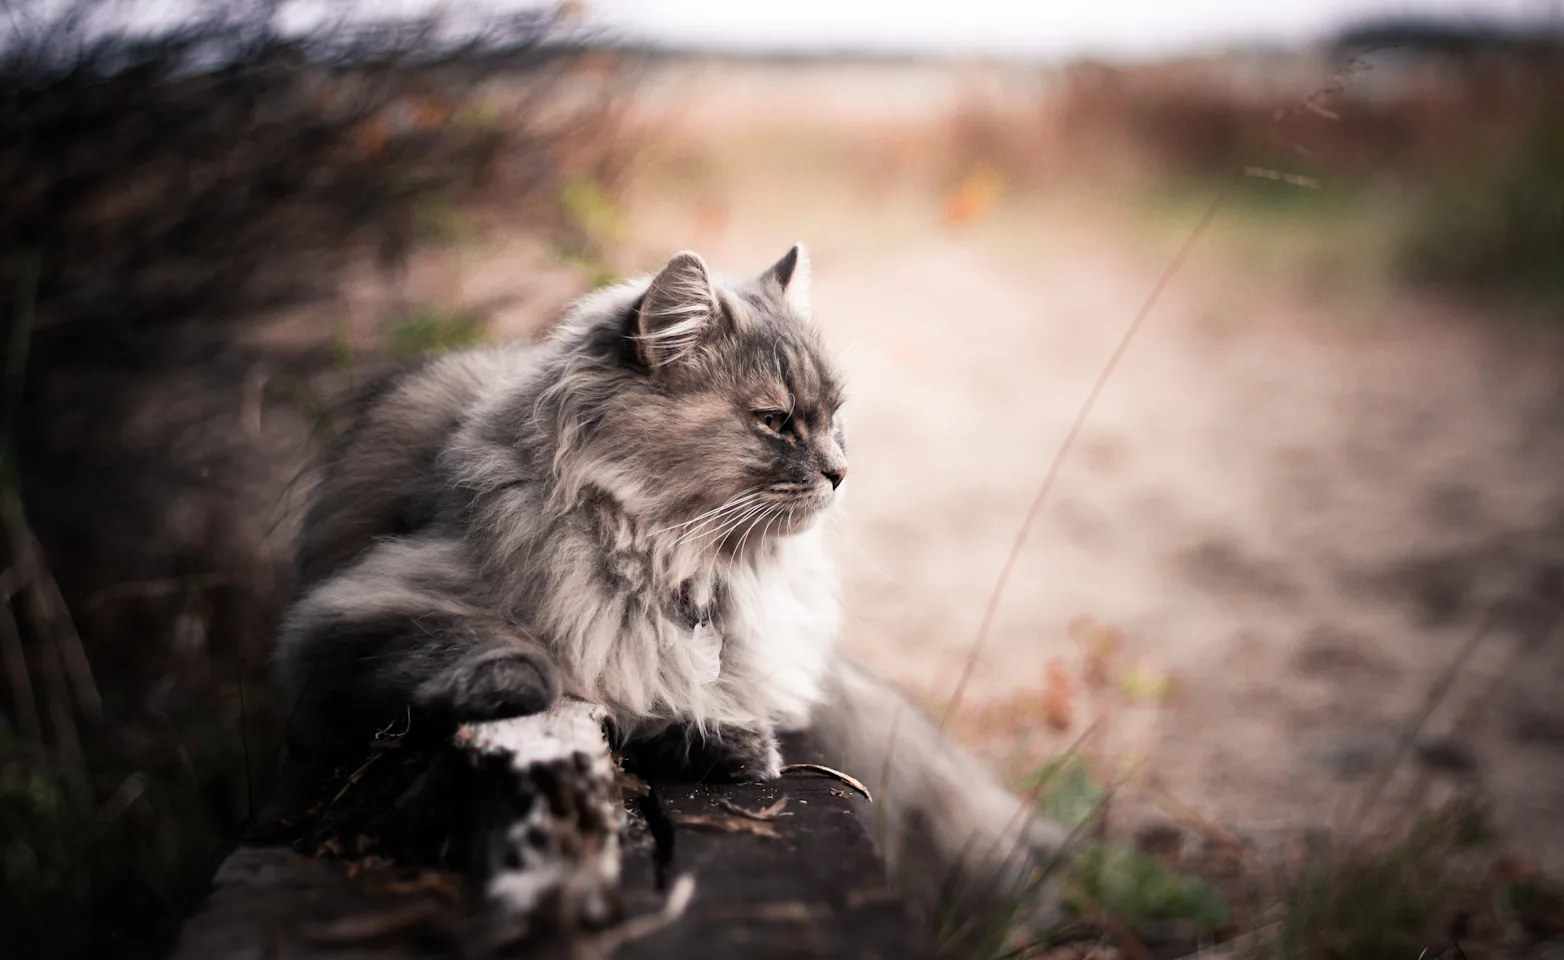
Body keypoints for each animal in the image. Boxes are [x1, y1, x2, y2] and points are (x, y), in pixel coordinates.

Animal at [275, 247, 1069, 931]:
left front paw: (728, 741)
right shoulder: (347, 617)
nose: (841, 472)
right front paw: (522, 687)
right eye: (776, 421)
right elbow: (528, 666)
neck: (678, 563)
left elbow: (662, 702)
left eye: (835, 418)